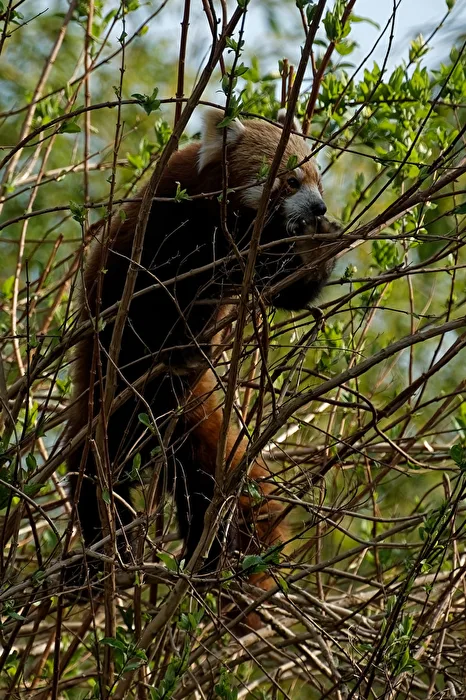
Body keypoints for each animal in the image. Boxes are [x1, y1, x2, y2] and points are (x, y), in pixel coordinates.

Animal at [66, 108, 337, 612]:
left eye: (318, 183)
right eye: (291, 180)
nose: (319, 210)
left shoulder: (248, 257)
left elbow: (283, 287)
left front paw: (316, 249)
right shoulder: (161, 232)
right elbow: (152, 293)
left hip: (191, 421)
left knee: (205, 486)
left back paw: (207, 560)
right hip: (102, 406)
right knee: (95, 475)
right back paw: (103, 554)